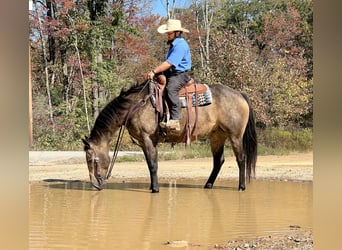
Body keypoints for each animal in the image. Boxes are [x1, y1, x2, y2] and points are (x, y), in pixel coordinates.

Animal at [81, 79, 255, 192]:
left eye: (92, 159)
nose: (95, 184)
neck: (135, 106)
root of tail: (239, 94)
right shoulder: (143, 142)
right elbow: (149, 163)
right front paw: (152, 186)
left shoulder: (148, 139)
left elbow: (153, 164)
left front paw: (155, 189)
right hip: (217, 136)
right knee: (218, 161)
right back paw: (208, 185)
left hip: (235, 135)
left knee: (241, 159)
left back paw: (241, 187)